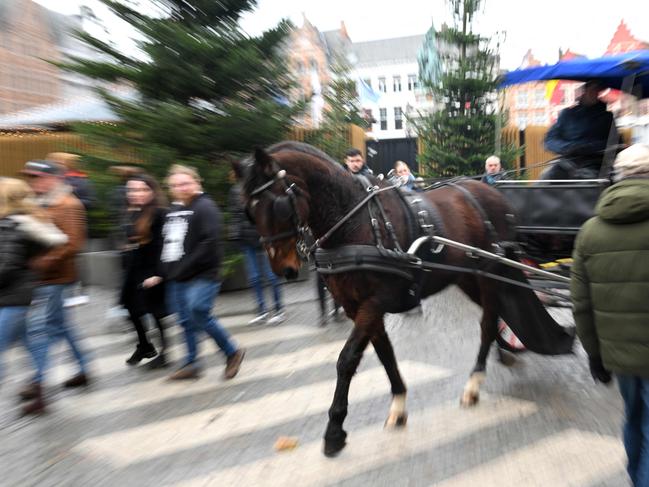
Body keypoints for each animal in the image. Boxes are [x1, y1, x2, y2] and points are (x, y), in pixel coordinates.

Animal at [235, 141, 568, 458]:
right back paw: (502, 351)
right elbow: (384, 353)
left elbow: (347, 359)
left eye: (278, 206)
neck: (356, 223)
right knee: (495, 313)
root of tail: (493, 192)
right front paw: (398, 404)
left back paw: (474, 383)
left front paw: (334, 431)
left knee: (487, 321)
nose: (285, 269)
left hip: (490, 273)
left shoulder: (374, 302)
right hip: (466, 277)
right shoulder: (357, 307)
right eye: (248, 211)